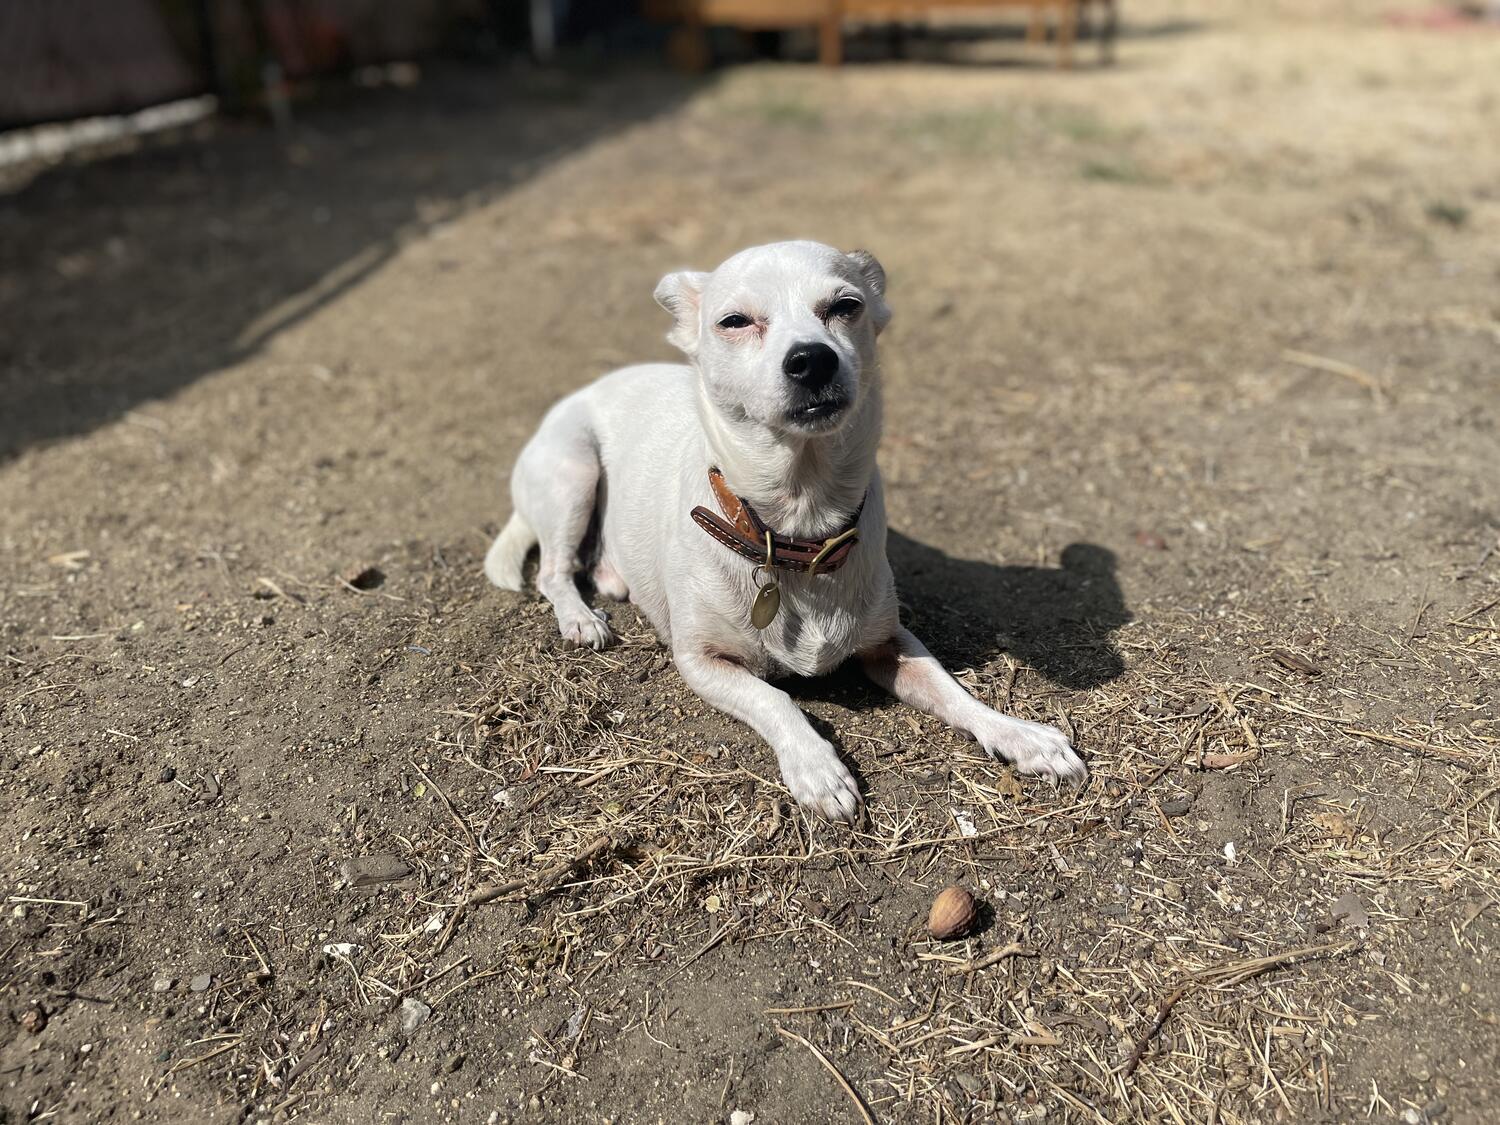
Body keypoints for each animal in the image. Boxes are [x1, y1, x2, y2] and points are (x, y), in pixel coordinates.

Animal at [486, 240, 1086, 822]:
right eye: (734, 321)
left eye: (846, 306)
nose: (811, 358)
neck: (797, 525)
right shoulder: (700, 661)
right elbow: (774, 699)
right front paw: (816, 767)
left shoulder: (890, 642)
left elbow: (953, 691)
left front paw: (1021, 736)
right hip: (574, 473)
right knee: (554, 570)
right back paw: (580, 617)